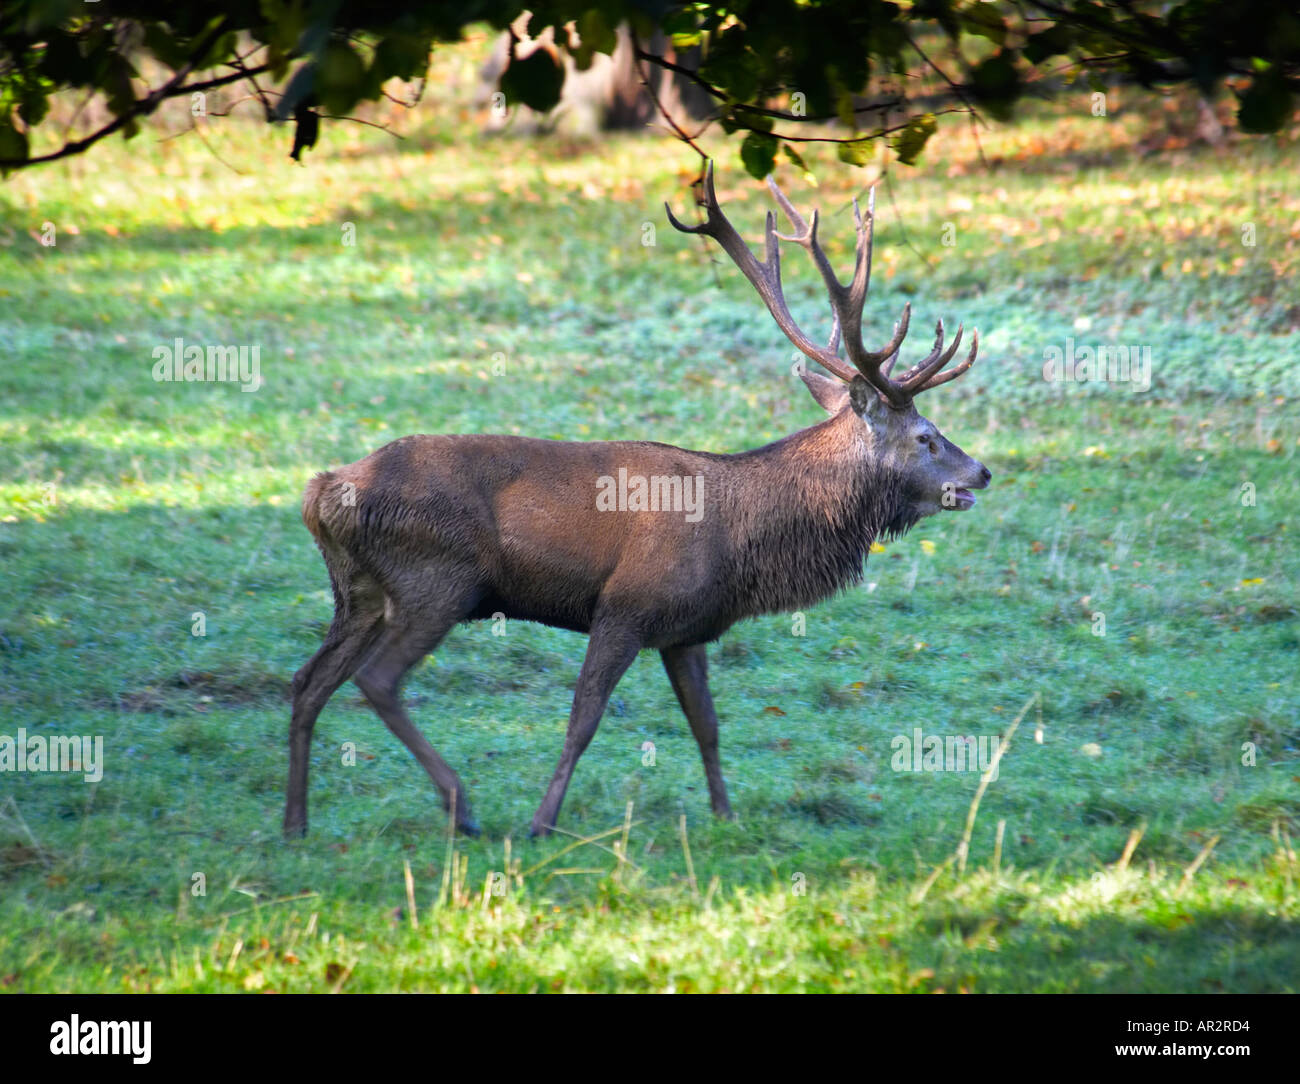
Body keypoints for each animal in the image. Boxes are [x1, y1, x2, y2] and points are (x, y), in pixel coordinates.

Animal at [283, 162, 991, 840]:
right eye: (926, 437)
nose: (981, 472)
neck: (740, 542)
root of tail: (322, 490)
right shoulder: (624, 606)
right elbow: (583, 719)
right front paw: (543, 822)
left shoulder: (687, 629)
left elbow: (707, 723)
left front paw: (725, 817)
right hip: (438, 580)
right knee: (376, 680)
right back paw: (461, 808)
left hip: (359, 593)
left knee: (308, 681)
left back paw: (297, 823)